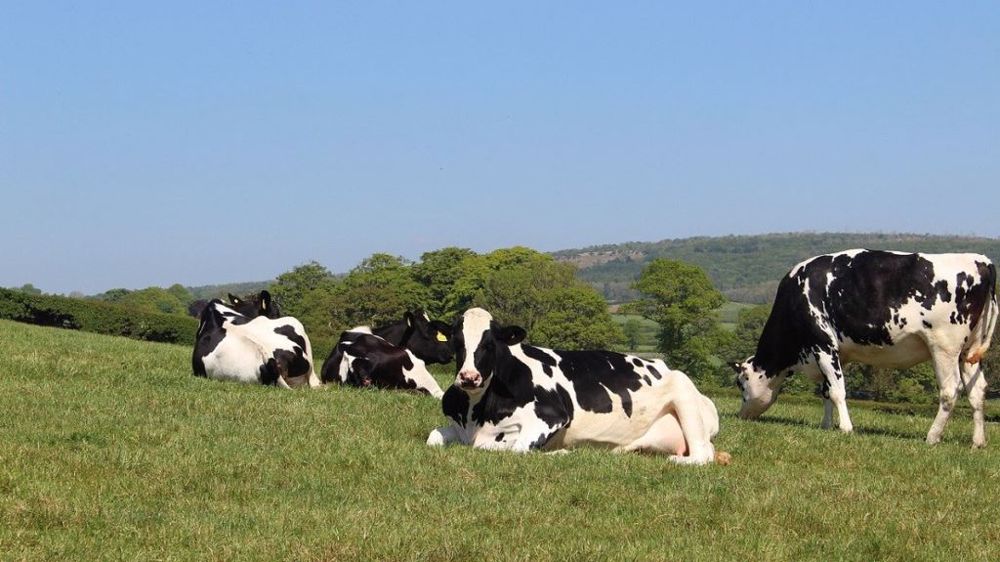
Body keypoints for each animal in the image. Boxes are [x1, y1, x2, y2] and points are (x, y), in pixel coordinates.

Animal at [426, 308, 727, 465]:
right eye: (456, 342)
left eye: (490, 344)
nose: (469, 377)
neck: (476, 414)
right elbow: (433, 437)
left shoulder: (552, 416)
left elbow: (511, 447)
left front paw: (558, 451)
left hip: (684, 393)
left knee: (702, 454)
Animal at [733, 250, 997, 447]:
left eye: (741, 384)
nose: (741, 416)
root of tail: (981, 260)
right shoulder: (836, 353)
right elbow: (827, 391)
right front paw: (826, 426)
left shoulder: (823, 344)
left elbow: (838, 391)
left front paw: (846, 429)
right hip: (968, 352)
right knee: (977, 391)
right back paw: (978, 442)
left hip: (944, 346)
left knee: (950, 390)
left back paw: (932, 437)